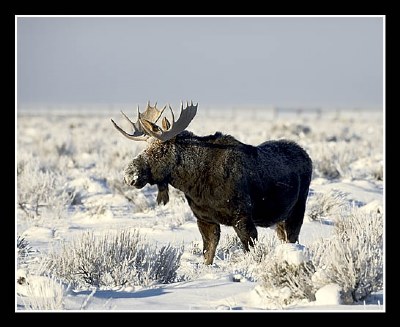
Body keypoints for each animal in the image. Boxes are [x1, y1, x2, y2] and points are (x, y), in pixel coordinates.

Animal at [111, 102, 312, 266]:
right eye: (144, 148)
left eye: (161, 150)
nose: (130, 175)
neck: (194, 183)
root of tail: (307, 156)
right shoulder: (204, 219)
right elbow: (208, 254)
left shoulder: (242, 216)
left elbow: (252, 252)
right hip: (280, 219)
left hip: (297, 209)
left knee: (293, 238)